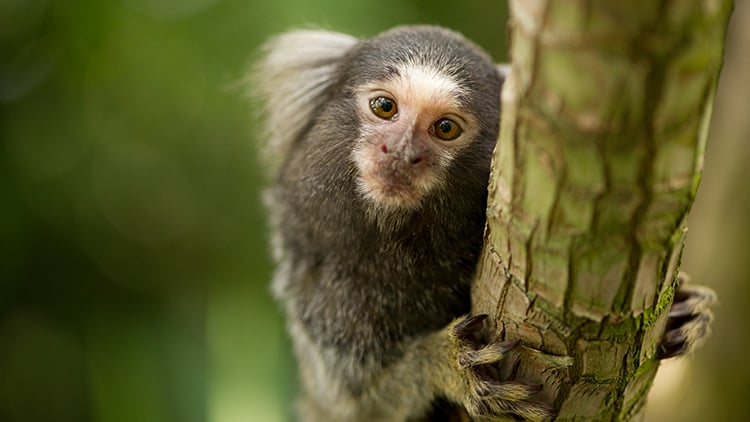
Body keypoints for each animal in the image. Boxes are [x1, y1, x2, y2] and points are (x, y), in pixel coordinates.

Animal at [250, 25, 716, 421]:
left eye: (445, 128)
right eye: (384, 108)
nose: (400, 151)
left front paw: (684, 309)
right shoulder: (324, 301)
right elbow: (356, 405)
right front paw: (442, 364)